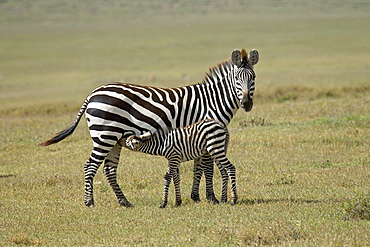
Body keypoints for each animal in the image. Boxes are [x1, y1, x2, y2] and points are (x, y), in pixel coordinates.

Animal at [39, 47, 258, 206]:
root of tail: (93, 93)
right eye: (237, 79)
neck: (212, 100)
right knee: (90, 166)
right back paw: (89, 202)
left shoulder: (199, 136)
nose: (247, 103)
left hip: (114, 140)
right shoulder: (205, 130)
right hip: (104, 136)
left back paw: (124, 202)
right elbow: (207, 167)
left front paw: (196, 196)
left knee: (109, 170)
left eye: (253, 78)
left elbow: (199, 167)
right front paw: (210, 198)